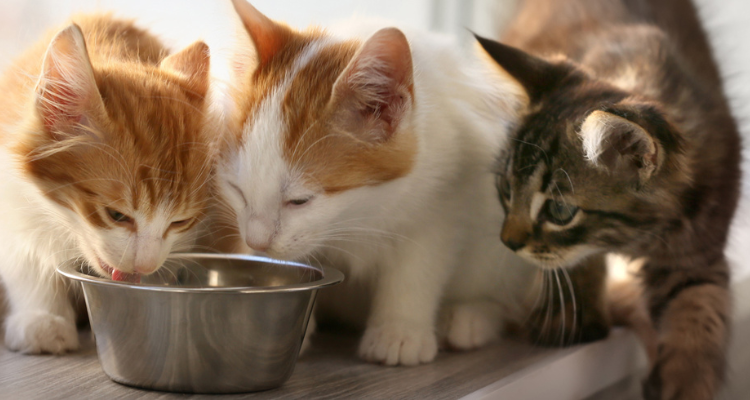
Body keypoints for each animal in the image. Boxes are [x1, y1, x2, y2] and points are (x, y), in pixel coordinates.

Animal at [478, 0, 744, 400]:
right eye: (507, 190)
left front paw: (685, 383)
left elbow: (699, 313)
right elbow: (577, 260)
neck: (638, 235)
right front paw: (572, 317)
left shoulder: (697, 253)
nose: (507, 242)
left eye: (559, 210)